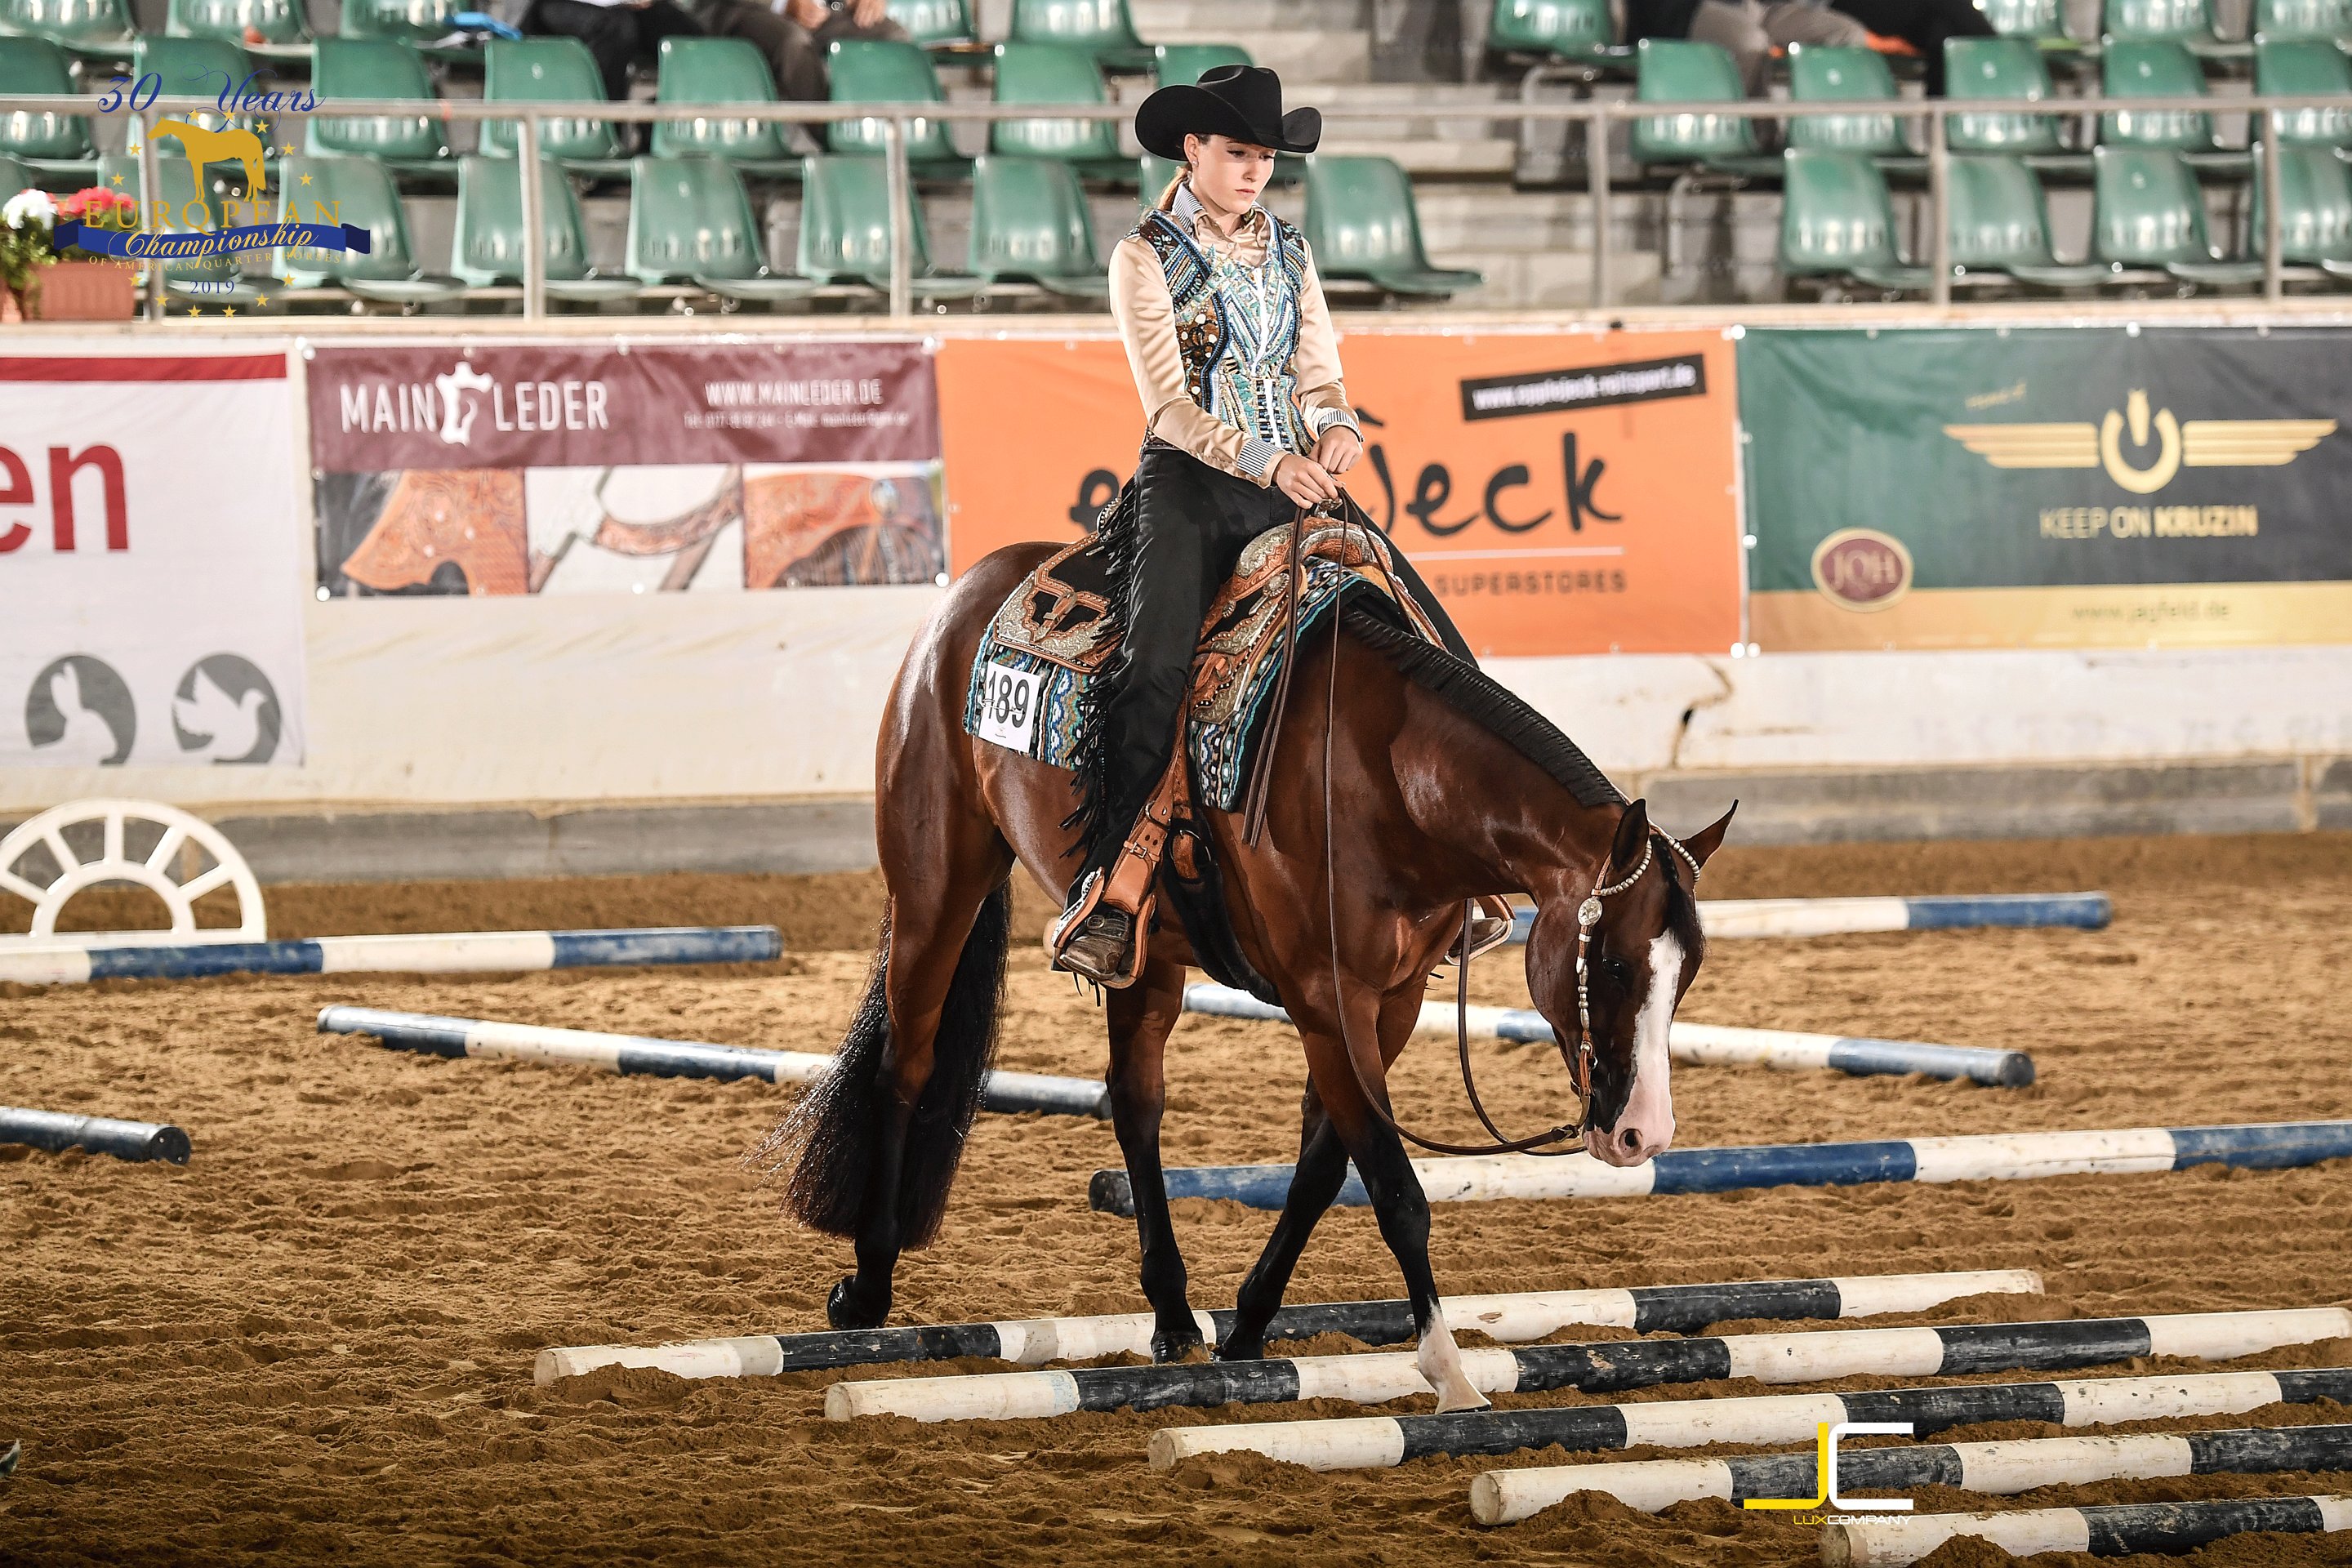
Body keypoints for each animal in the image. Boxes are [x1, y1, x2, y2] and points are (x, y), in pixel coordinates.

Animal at [762, 536, 1740, 1410]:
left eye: (1688, 973)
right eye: (1611, 960)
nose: (1643, 1135)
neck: (1386, 776)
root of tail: (968, 591)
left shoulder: (1391, 1002)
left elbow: (1323, 1168)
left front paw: (1246, 1327)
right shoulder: (1327, 1000)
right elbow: (1396, 1187)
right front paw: (1449, 1373)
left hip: (1147, 959)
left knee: (1135, 1103)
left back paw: (1171, 1315)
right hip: (936, 882)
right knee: (908, 1062)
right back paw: (869, 1286)